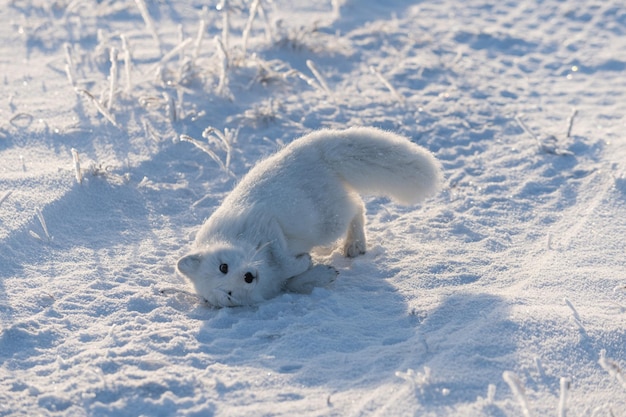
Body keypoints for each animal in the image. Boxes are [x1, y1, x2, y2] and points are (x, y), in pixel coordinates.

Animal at [174, 126, 438, 306]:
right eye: (228, 294)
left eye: (223, 267)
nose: (249, 276)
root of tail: (316, 147)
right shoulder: (276, 281)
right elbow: (292, 280)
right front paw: (320, 273)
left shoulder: (265, 222)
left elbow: (282, 258)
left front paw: (303, 261)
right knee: (357, 205)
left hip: (326, 222)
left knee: (358, 207)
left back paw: (354, 243)